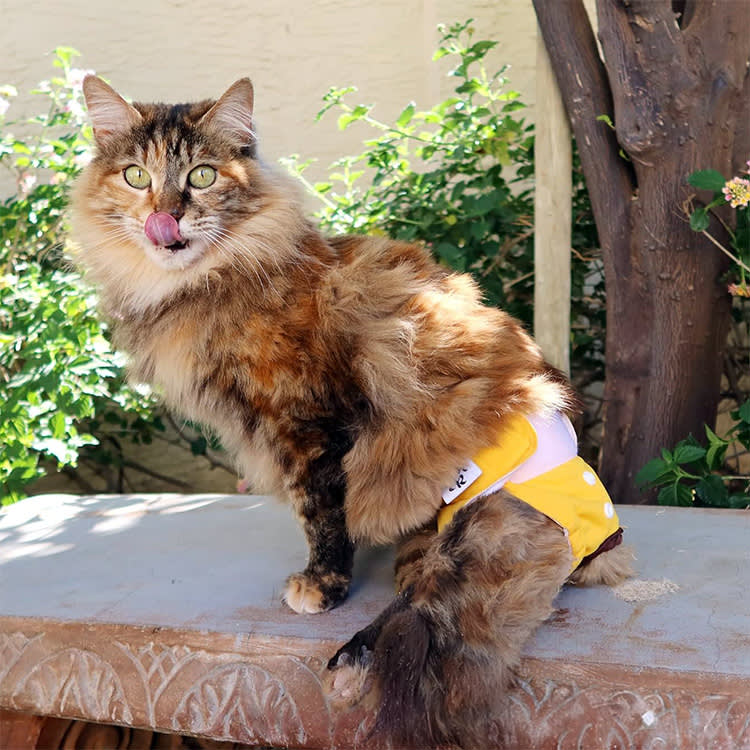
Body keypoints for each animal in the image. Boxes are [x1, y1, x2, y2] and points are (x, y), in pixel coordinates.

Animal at [72, 76, 636, 750]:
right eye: (136, 176)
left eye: (202, 176)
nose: (168, 213)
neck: (212, 281)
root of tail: (598, 535)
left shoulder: (308, 425)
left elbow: (323, 516)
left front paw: (321, 585)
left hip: (465, 523)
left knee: (421, 604)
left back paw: (349, 664)